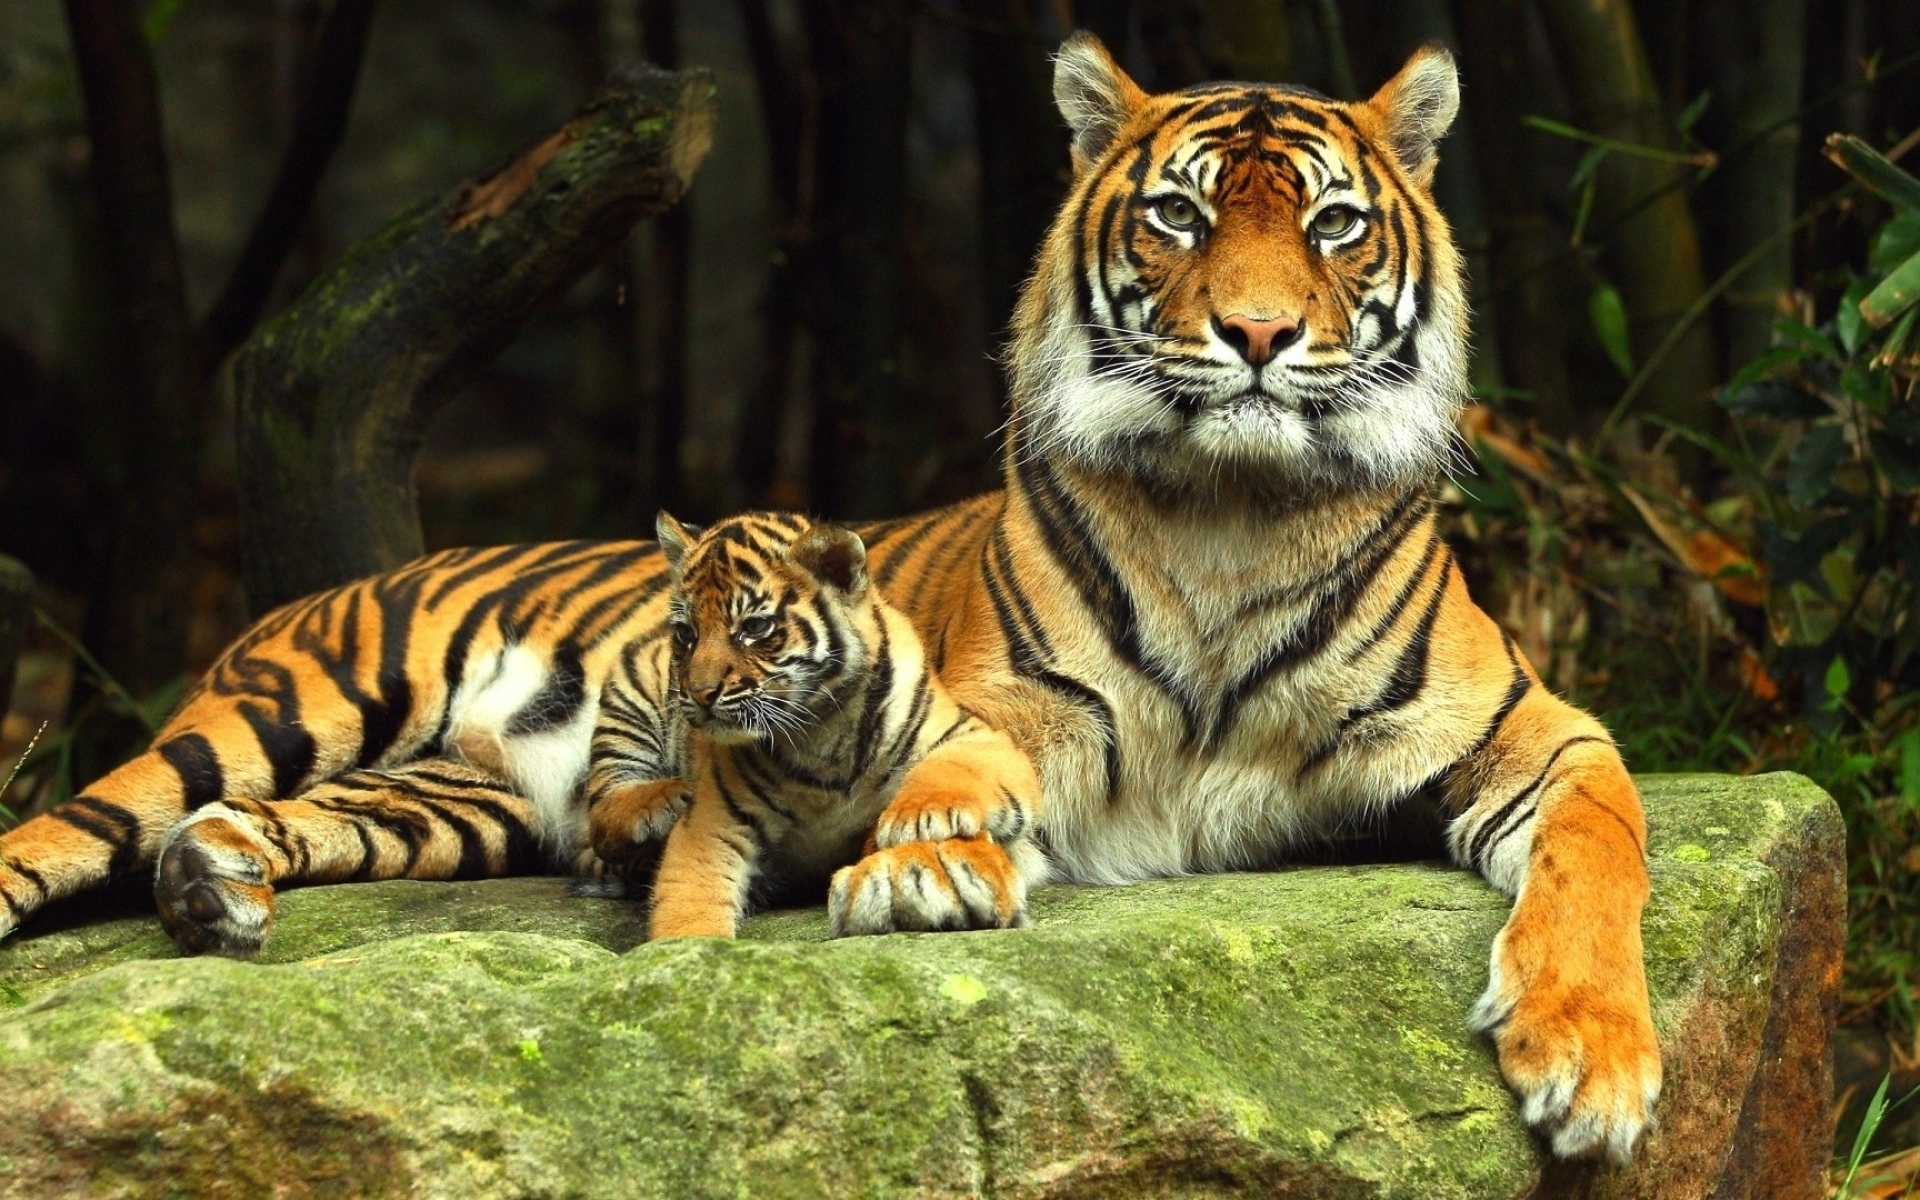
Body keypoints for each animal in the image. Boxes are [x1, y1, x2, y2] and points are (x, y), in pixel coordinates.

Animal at [623, 511, 1042, 940]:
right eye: (686, 633)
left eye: (754, 628)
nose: (701, 693)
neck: (821, 729)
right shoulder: (715, 823)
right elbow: (690, 899)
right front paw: (691, 947)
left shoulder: (977, 736)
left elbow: (954, 769)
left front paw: (914, 820)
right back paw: (657, 803)